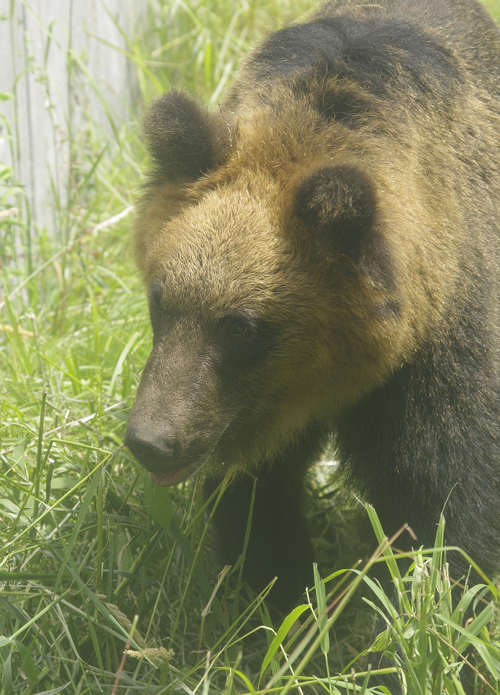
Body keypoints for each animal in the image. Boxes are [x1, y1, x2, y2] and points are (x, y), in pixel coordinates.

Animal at [124, 0, 500, 616]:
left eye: (241, 327)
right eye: (160, 299)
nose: (151, 441)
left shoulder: (442, 349)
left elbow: (451, 502)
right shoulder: (245, 421)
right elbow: (256, 500)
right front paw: (278, 595)